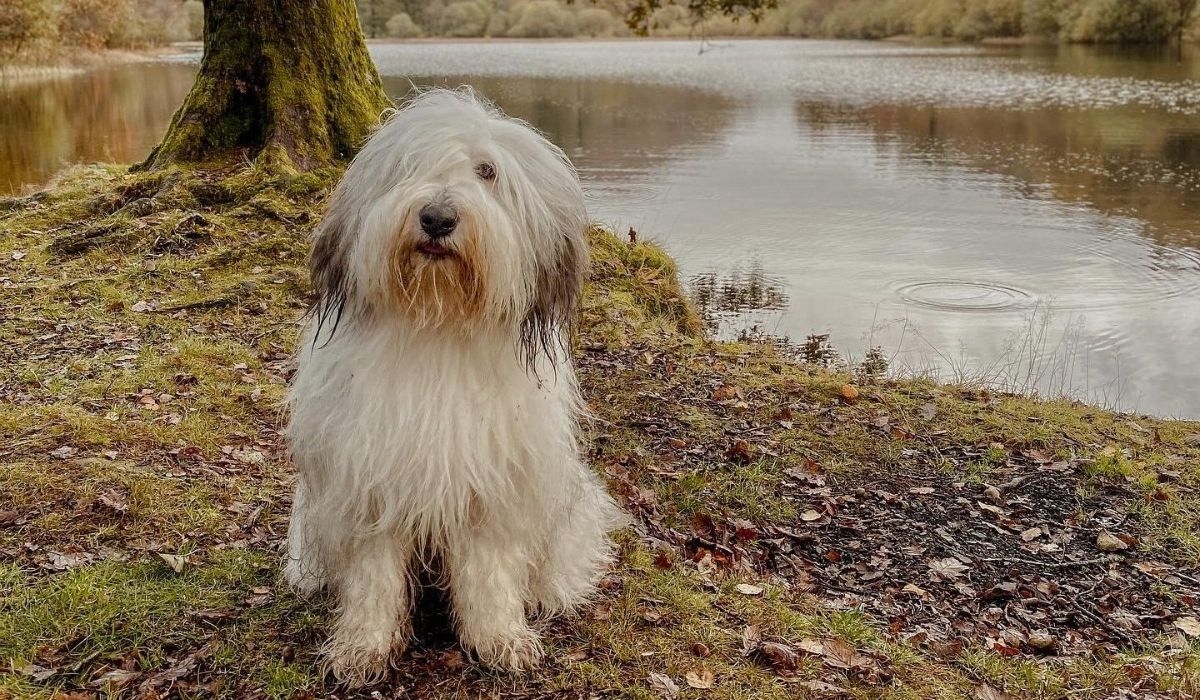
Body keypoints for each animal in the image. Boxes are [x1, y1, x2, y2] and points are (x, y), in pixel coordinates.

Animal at [282, 88, 628, 691]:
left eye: (487, 172)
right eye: (413, 166)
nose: (437, 218)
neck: (439, 322)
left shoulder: (490, 483)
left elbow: (489, 573)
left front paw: (499, 638)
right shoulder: (371, 480)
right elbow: (373, 579)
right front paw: (362, 646)